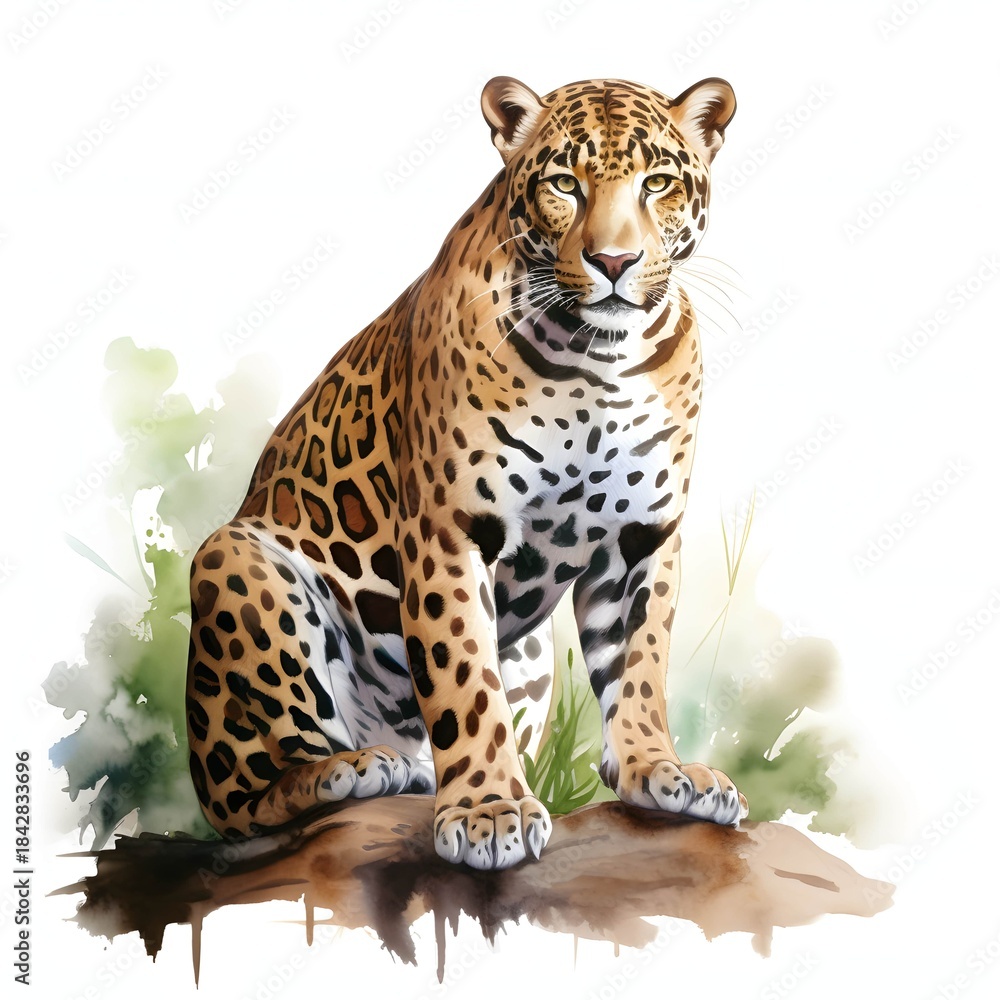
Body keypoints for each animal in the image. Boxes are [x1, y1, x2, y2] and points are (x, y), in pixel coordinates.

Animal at [186, 75, 748, 871]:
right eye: (564, 184)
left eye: (658, 183)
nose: (613, 263)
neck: (599, 361)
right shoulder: (450, 528)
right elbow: (464, 677)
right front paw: (488, 810)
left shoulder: (642, 536)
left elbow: (639, 664)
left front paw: (657, 770)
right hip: (233, 562)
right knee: (250, 799)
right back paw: (355, 770)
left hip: (534, 655)